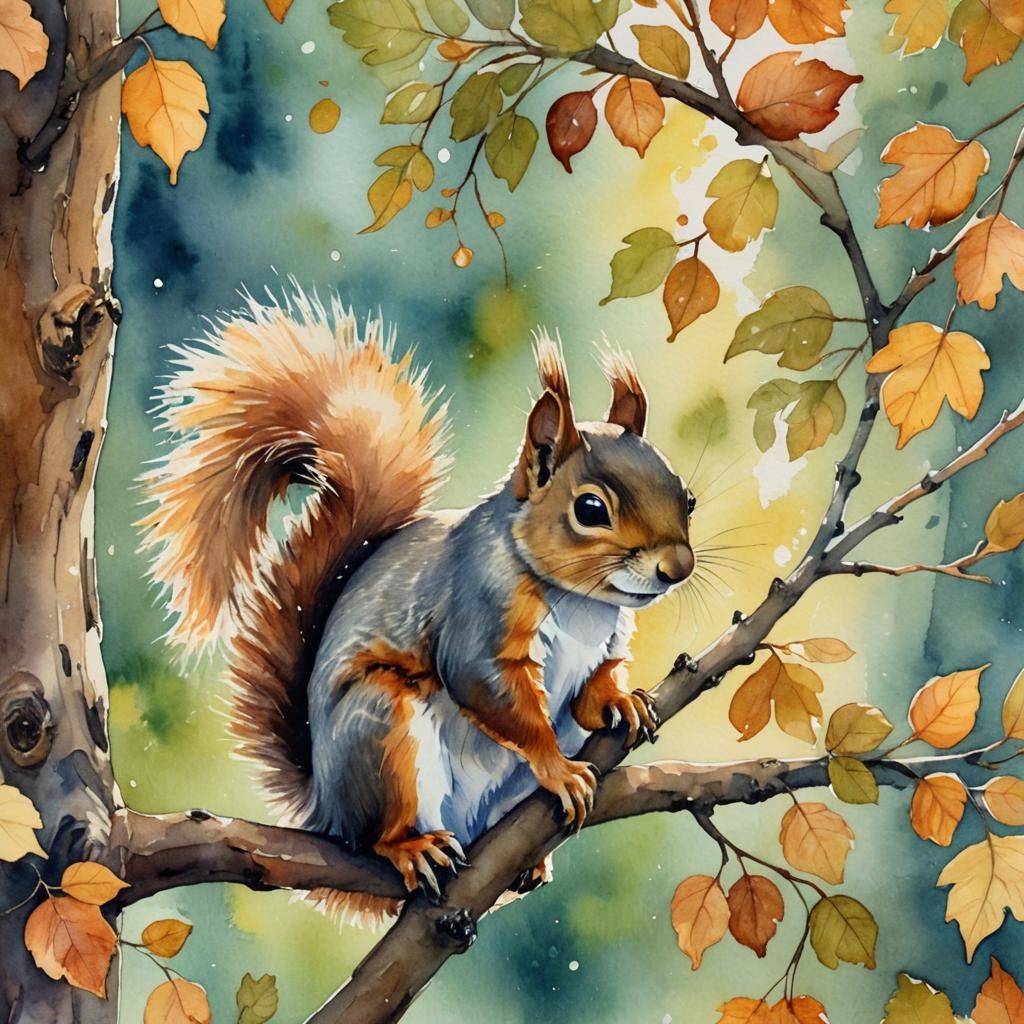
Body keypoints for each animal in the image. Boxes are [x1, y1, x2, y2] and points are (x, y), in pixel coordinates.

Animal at [138, 287, 696, 913]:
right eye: (591, 509)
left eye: (688, 499)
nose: (678, 568)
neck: (583, 603)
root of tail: (328, 814)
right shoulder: (478, 613)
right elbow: (489, 690)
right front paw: (557, 765)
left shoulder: (604, 642)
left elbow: (593, 690)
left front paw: (622, 702)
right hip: (381, 734)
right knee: (382, 829)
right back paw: (412, 847)